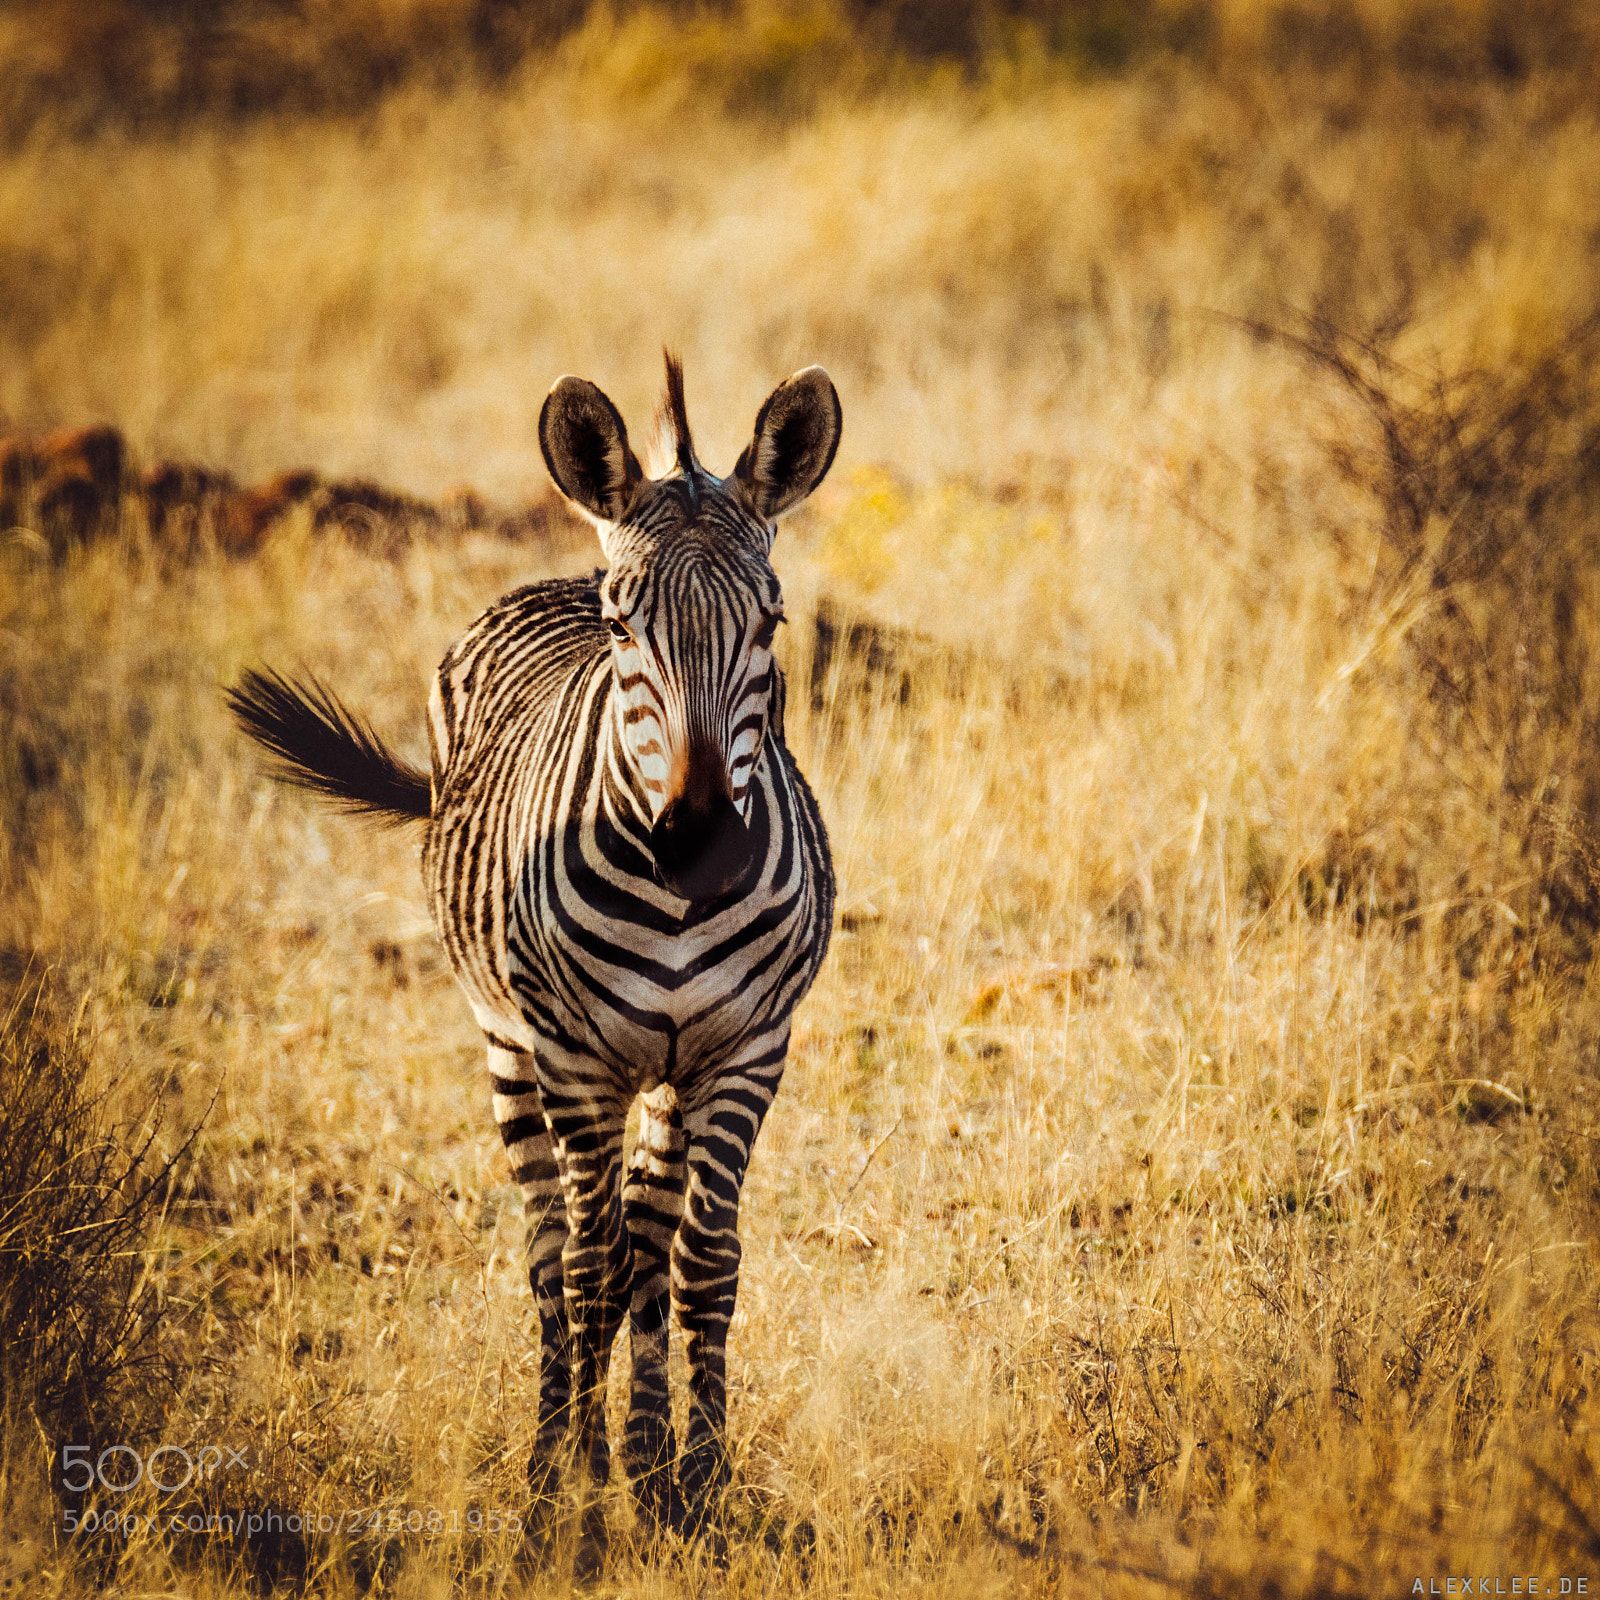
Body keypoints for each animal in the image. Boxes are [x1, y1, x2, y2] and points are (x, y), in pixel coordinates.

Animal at [227, 353, 842, 1556]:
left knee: (644, 1247)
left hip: (663, 1075)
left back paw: (647, 1465)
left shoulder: (747, 1050)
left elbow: (701, 1264)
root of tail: (553, 570)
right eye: (621, 630)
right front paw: (578, 1502)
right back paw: (568, 1460)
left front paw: (698, 1488)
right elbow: (591, 1268)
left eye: (772, 622)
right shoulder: (575, 1059)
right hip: (511, 1050)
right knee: (557, 1254)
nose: (700, 841)